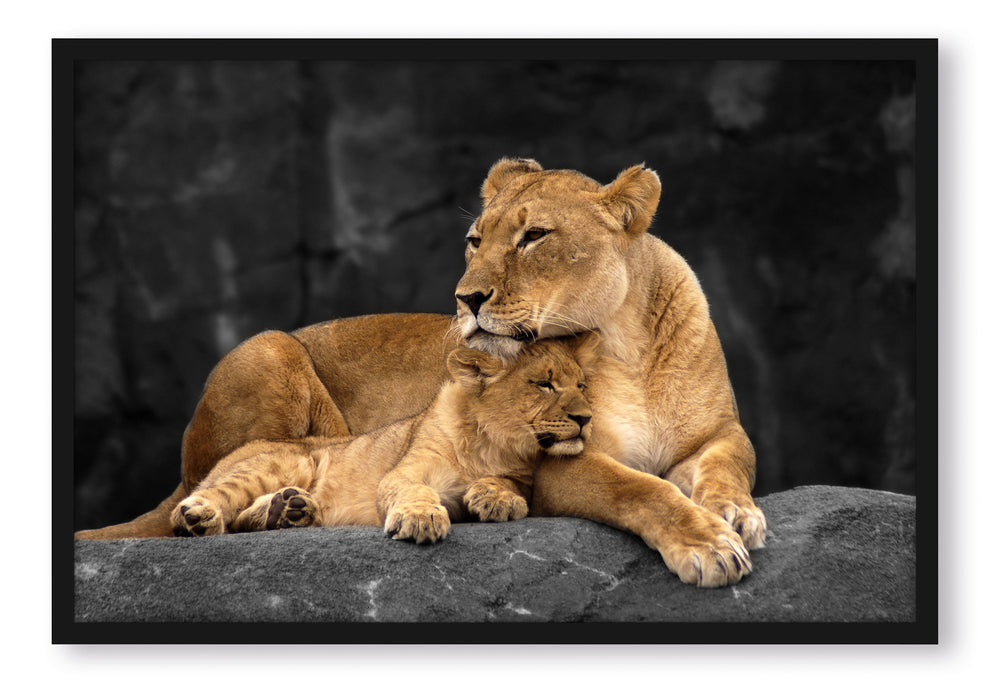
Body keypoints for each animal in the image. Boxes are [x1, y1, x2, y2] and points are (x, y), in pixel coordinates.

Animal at [168, 336, 602, 548]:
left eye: (581, 385)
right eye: (543, 384)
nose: (586, 419)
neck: (491, 444)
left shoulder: (522, 474)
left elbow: (511, 484)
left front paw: (497, 497)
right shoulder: (403, 472)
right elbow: (414, 490)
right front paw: (421, 519)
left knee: (243, 519)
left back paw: (289, 510)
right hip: (286, 461)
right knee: (211, 503)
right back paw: (200, 517)